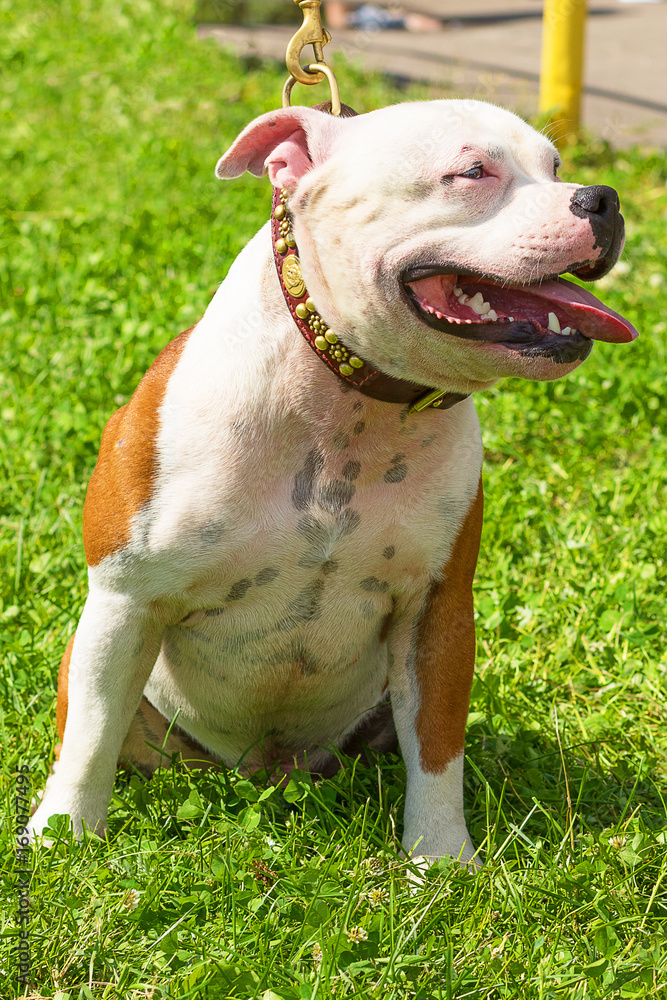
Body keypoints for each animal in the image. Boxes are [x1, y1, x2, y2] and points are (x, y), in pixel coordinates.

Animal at [28, 101, 640, 868]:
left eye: (556, 167)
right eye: (472, 172)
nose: (602, 199)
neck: (348, 401)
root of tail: (263, 768)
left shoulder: (436, 614)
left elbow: (438, 747)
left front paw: (441, 859)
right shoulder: (125, 598)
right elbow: (90, 734)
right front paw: (63, 834)